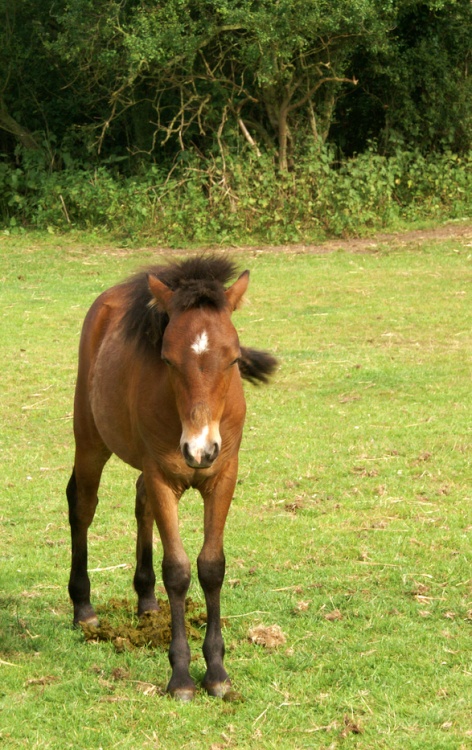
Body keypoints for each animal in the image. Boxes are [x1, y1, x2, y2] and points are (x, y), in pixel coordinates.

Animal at [66, 255, 277, 701]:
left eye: (233, 359)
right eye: (167, 360)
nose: (199, 450)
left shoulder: (223, 476)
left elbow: (211, 566)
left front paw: (217, 672)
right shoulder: (164, 476)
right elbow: (177, 571)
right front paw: (181, 676)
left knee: (140, 501)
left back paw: (147, 603)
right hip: (91, 440)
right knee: (82, 505)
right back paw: (84, 609)